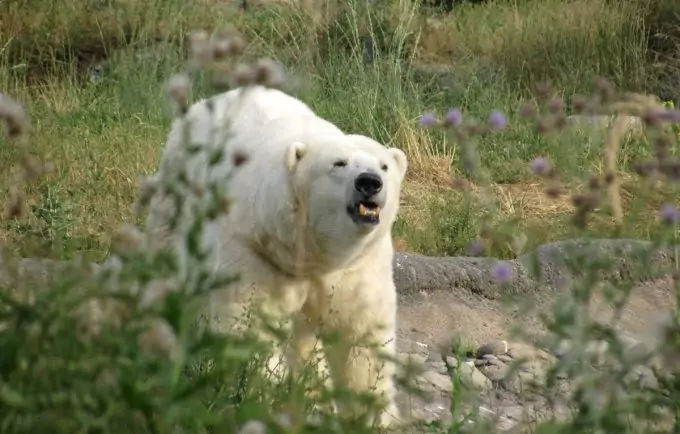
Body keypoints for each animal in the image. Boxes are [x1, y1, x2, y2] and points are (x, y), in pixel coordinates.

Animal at [144, 85, 406, 428]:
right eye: (339, 163)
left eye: (384, 166)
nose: (369, 182)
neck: (311, 250)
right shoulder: (252, 249)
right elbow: (252, 323)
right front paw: (261, 397)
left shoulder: (357, 264)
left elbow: (361, 334)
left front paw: (374, 417)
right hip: (177, 198)